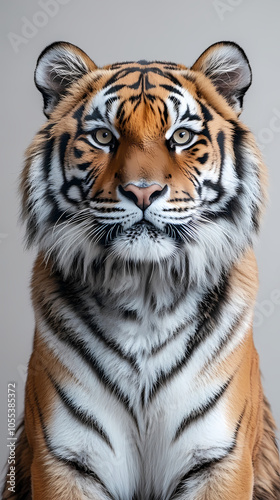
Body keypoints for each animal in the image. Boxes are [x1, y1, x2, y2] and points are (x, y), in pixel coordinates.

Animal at [2, 40, 280, 500]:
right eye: (103, 137)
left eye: (181, 136)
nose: (143, 191)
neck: (146, 290)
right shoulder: (66, 459)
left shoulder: (218, 458)